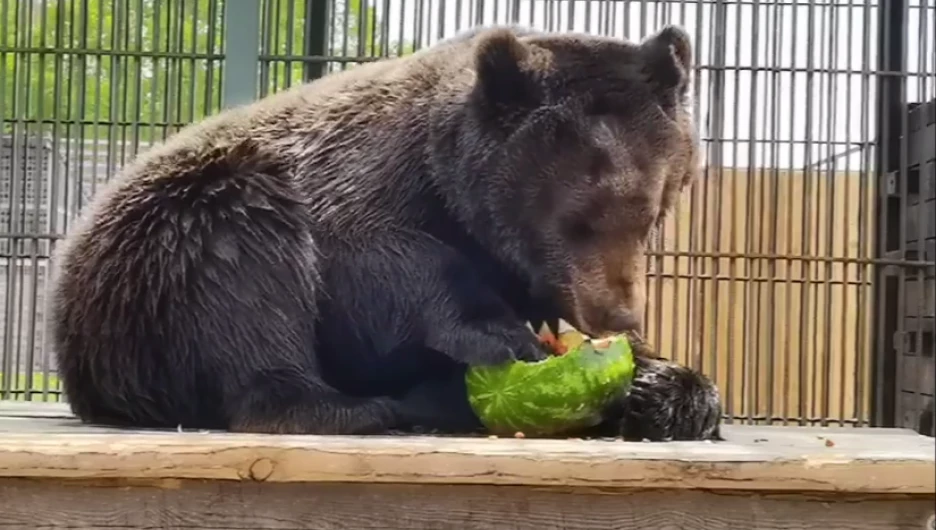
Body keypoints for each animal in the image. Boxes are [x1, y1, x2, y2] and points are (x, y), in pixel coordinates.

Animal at [51, 23, 720, 438]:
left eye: (651, 211)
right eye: (577, 219)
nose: (618, 314)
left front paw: (660, 387)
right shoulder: (365, 180)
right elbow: (374, 263)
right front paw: (501, 335)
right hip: (163, 253)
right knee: (241, 272)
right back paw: (356, 406)